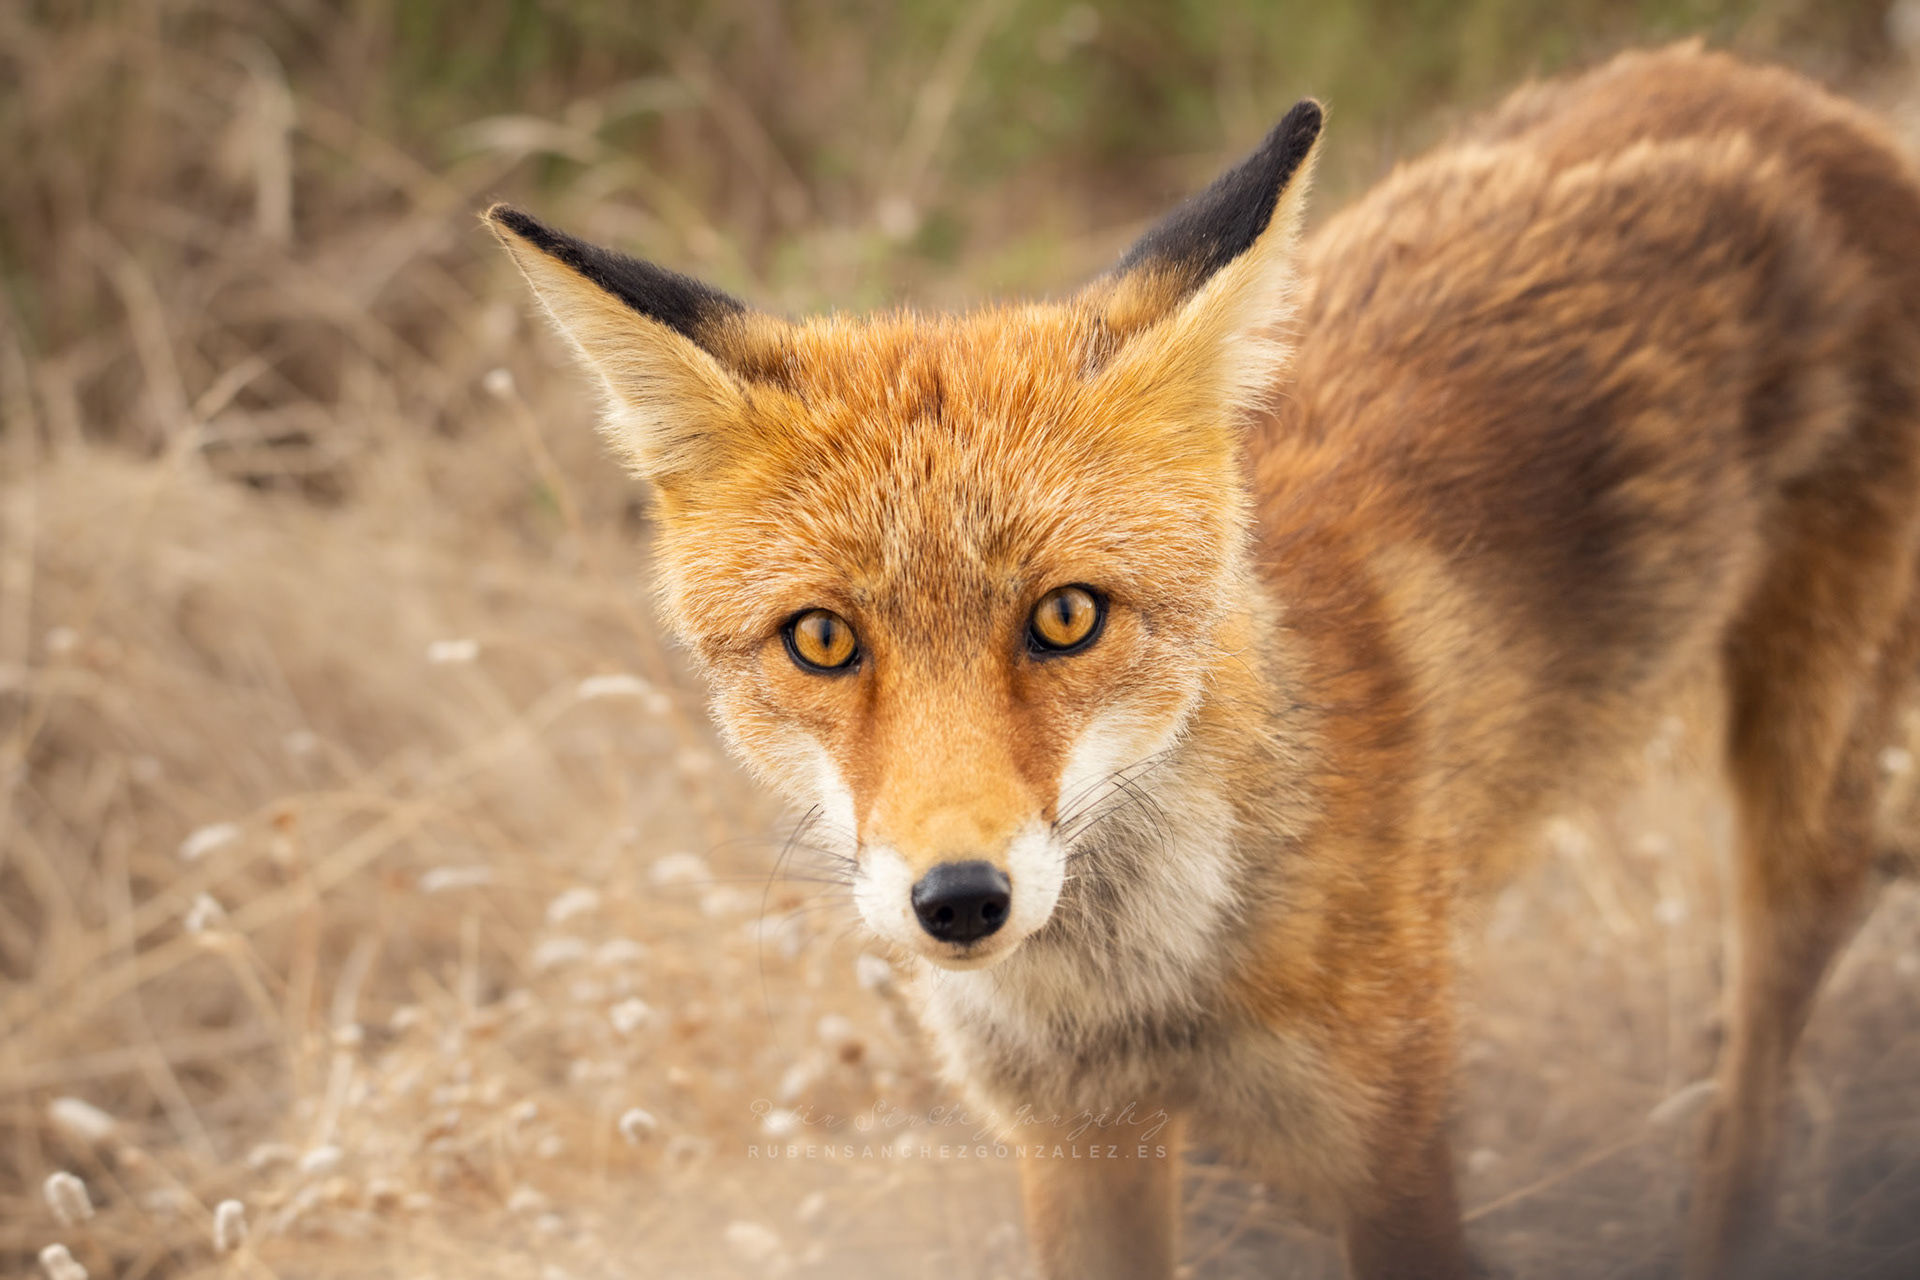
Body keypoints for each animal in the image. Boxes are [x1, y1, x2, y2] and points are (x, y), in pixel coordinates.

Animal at [486, 42, 1920, 1280]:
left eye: (1069, 617)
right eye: (824, 639)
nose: (961, 901)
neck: (1143, 999)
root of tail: (1780, 89)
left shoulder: (1390, 1134)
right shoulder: (1078, 1140)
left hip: (1791, 820)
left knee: (1760, 1081)